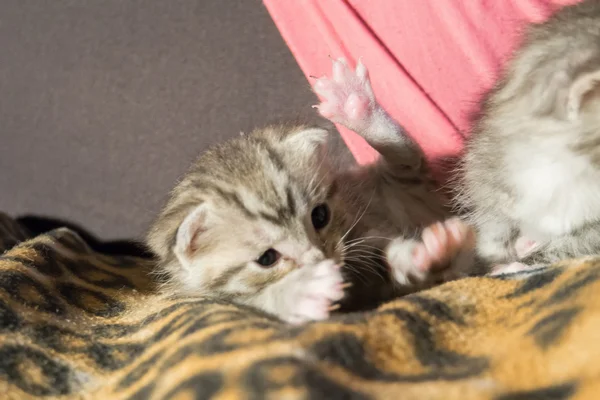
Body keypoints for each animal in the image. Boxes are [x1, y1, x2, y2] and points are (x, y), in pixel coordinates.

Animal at [149, 57, 474, 324]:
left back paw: (355, 106)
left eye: (320, 216)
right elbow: (256, 302)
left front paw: (425, 253)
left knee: (406, 158)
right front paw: (300, 291)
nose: (323, 259)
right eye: (267, 259)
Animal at [460, 0, 600, 272]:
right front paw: (497, 255)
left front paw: (520, 261)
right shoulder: (484, 163)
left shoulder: (592, 230)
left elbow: (568, 247)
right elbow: (491, 222)